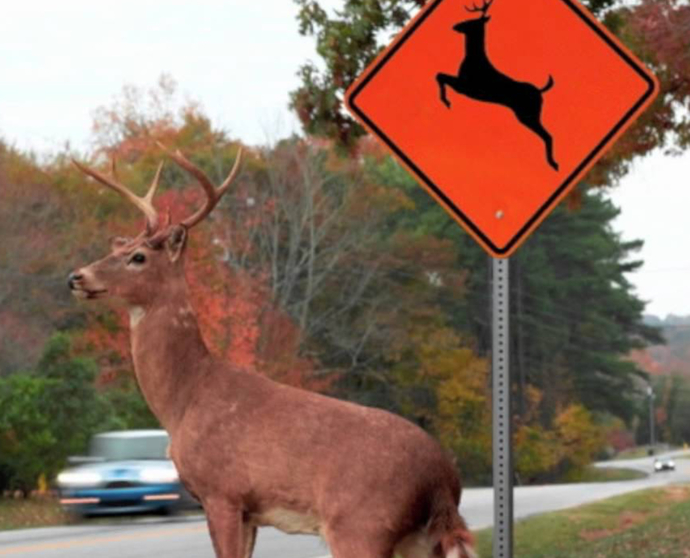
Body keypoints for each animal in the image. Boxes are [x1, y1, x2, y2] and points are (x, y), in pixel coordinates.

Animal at [66, 145, 477, 558]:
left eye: (138, 257)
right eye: (117, 248)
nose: (77, 277)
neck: (184, 398)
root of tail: (443, 479)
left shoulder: (223, 492)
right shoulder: (250, 511)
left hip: (361, 525)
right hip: (419, 540)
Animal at [436, 0, 559, 171]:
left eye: (471, 22)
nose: (455, 26)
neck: (473, 59)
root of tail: (541, 91)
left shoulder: (466, 87)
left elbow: (440, 76)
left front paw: (446, 102)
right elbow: (439, 75)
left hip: (528, 114)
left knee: (547, 135)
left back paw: (553, 164)